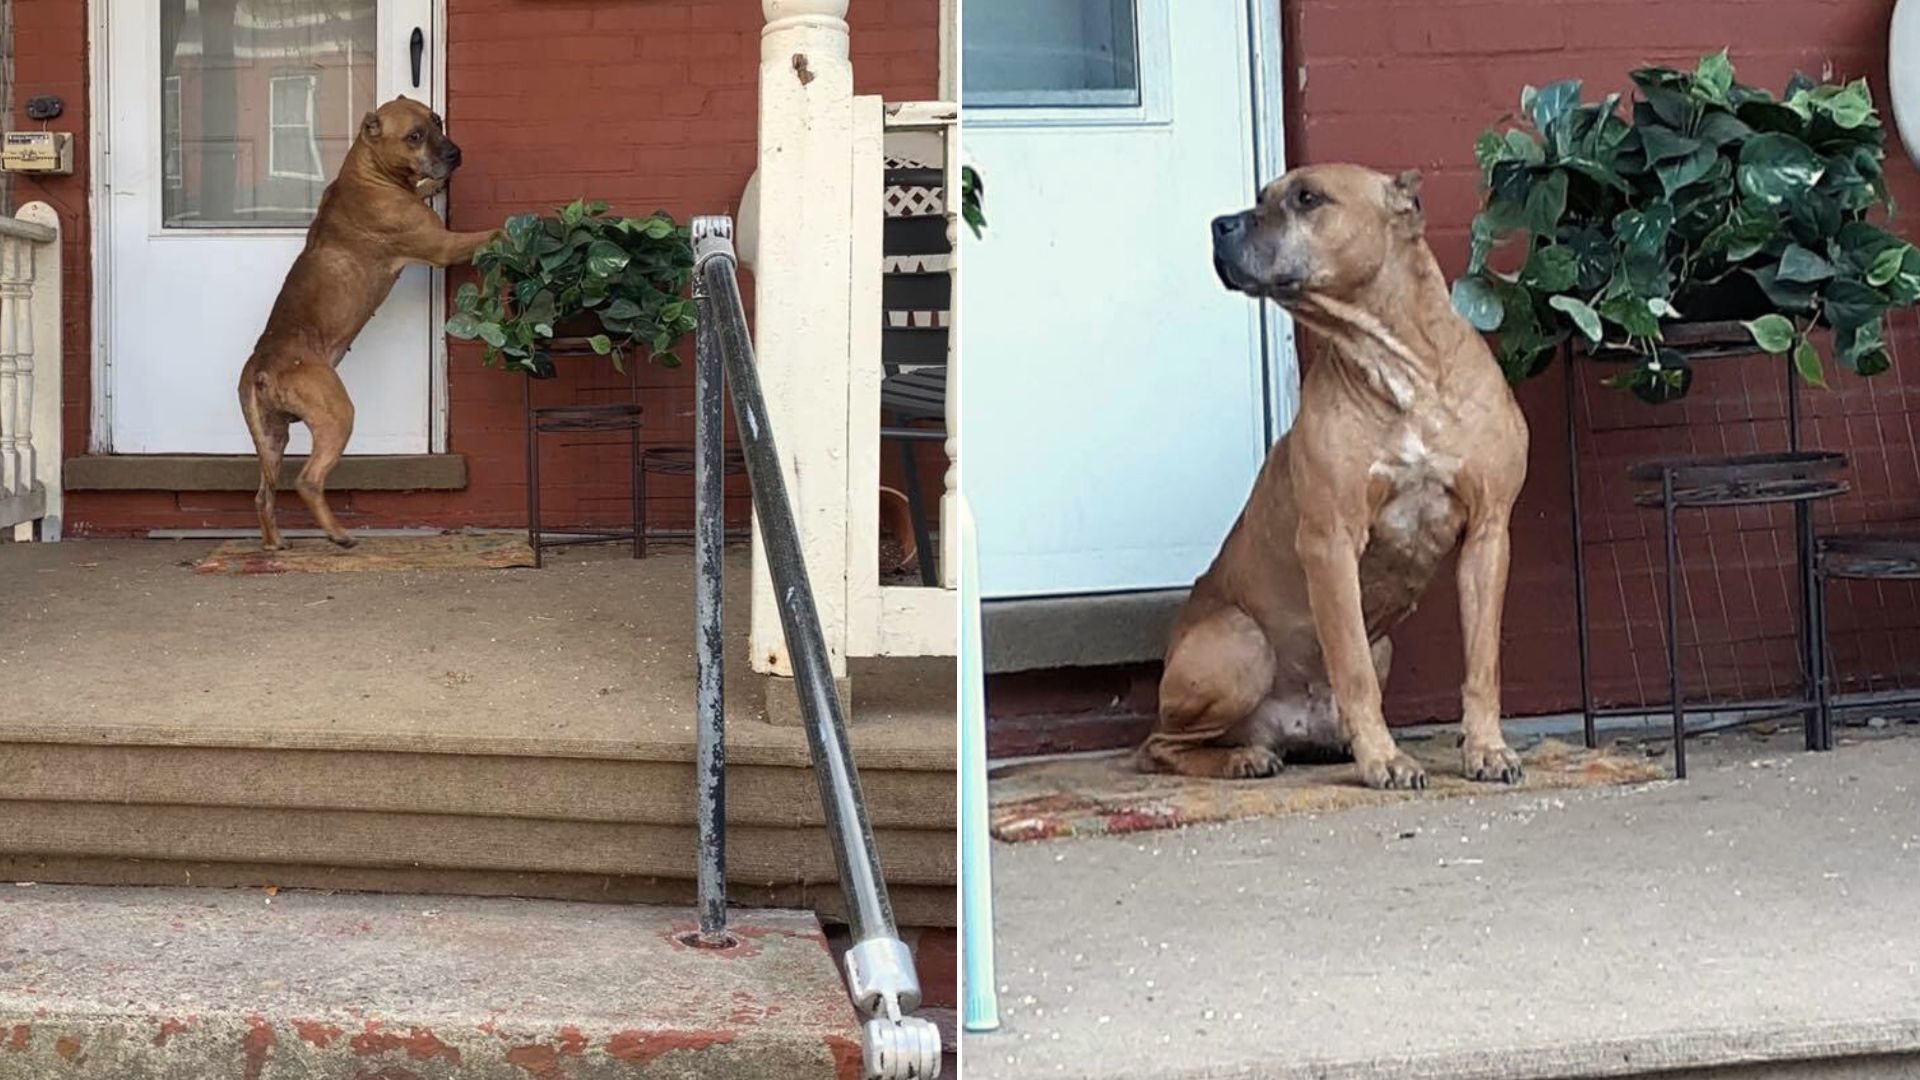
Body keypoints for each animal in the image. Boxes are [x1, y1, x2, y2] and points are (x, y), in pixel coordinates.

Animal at [240, 94, 499, 545]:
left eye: (437, 120)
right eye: (414, 137)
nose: (455, 154)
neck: (369, 170)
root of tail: (263, 365)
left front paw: (433, 186)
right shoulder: (445, 246)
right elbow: (490, 234)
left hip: (271, 438)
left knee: (263, 495)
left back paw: (276, 545)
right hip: (336, 416)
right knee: (308, 479)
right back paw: (339, 535)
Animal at [1136, 166, 1528, 791]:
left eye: (1307, 198)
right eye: (1261, 197)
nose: (1220, 224)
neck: (1400, 368)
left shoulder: (1489, 534)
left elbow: (1482, 661)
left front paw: (1486, 748)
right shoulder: (1331, 541)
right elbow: (1352, 668)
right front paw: (1384, 759)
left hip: (1382, 642)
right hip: (1240, 643)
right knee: (1158, 746)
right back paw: (1243, 757)